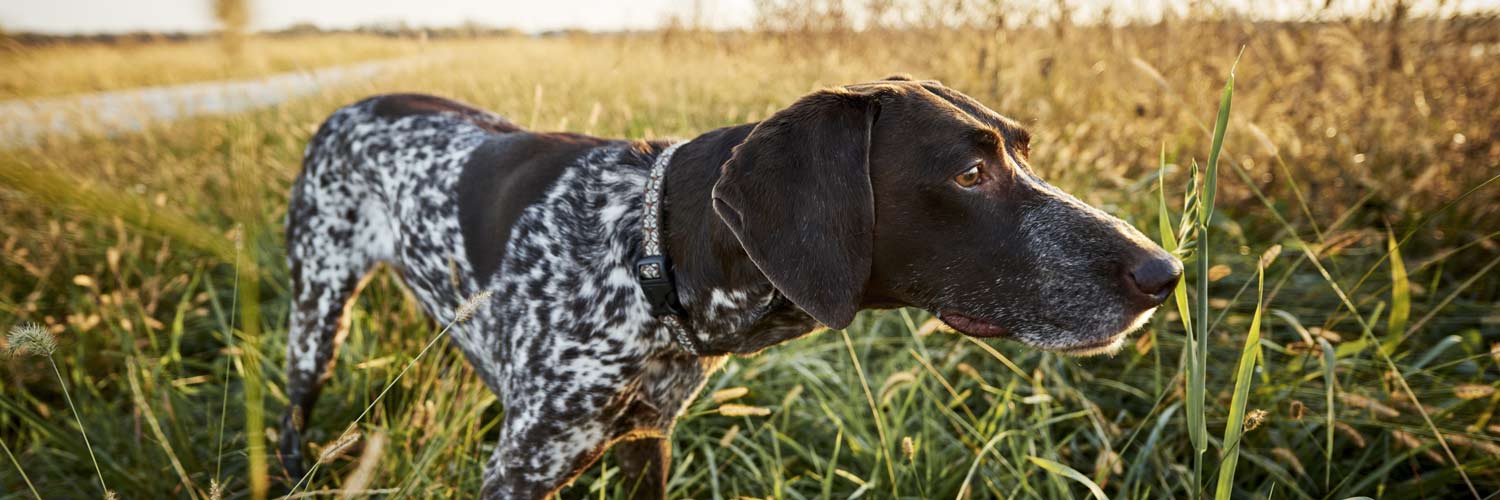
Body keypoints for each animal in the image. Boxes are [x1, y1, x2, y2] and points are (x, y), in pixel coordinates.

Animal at [276, 75, 1176, 495]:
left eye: (1023, 150)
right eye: (969, 173)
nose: (1163, 271)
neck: (647, 253)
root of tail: (346, 107)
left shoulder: (647, 444)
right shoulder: (520, 474)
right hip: (316, 312)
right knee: (293, 408)